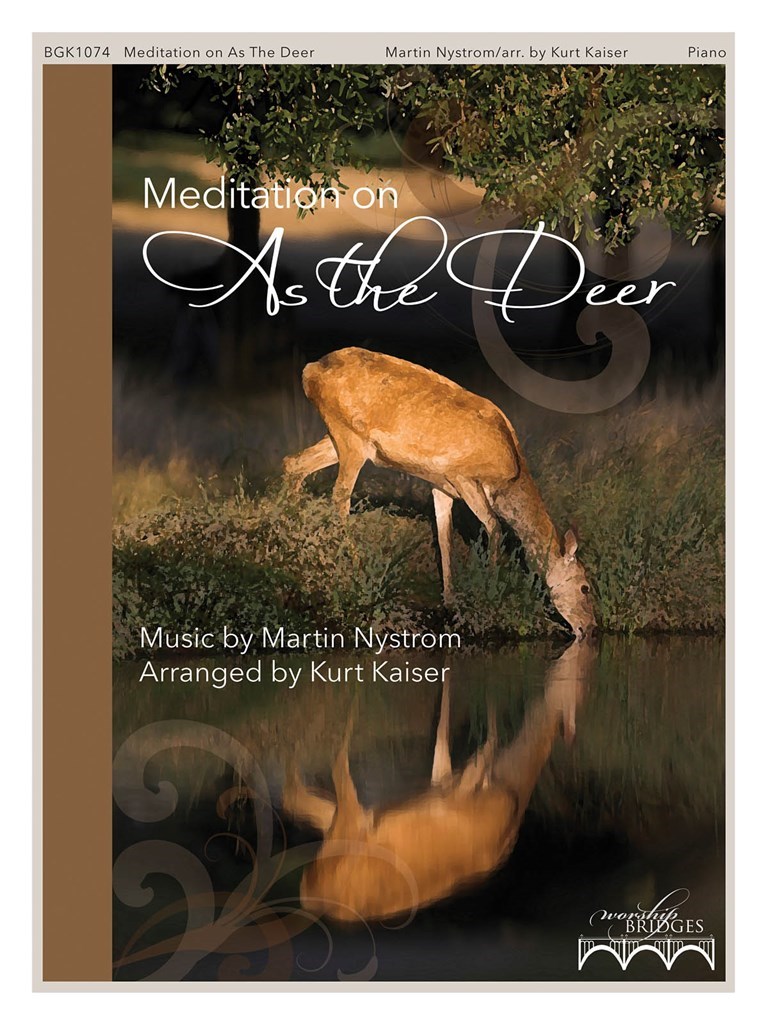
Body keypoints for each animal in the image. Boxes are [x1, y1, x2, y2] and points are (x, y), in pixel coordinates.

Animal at [282, 638, 595, 923]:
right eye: (580, 696)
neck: (512, 788)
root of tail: (311, 895)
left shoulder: (447, 779)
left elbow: (443, 736)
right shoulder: (470, 782)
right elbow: (489, 734)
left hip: (338, 825)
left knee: (295, 796)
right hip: (350, 825)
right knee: (335, 765)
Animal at [283, 347, 597, 639]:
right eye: (585, 587)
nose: (591, 628)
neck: (509, 476)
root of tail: (311, 370)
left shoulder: (441, 486)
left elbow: (444, 537)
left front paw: (449, 601)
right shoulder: (463, 476)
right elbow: (493, 526)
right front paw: (489, 590)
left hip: (339, 438)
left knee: (294, 464)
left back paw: (289, 532)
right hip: (351, 437)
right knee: (339, 495)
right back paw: (356, 569)